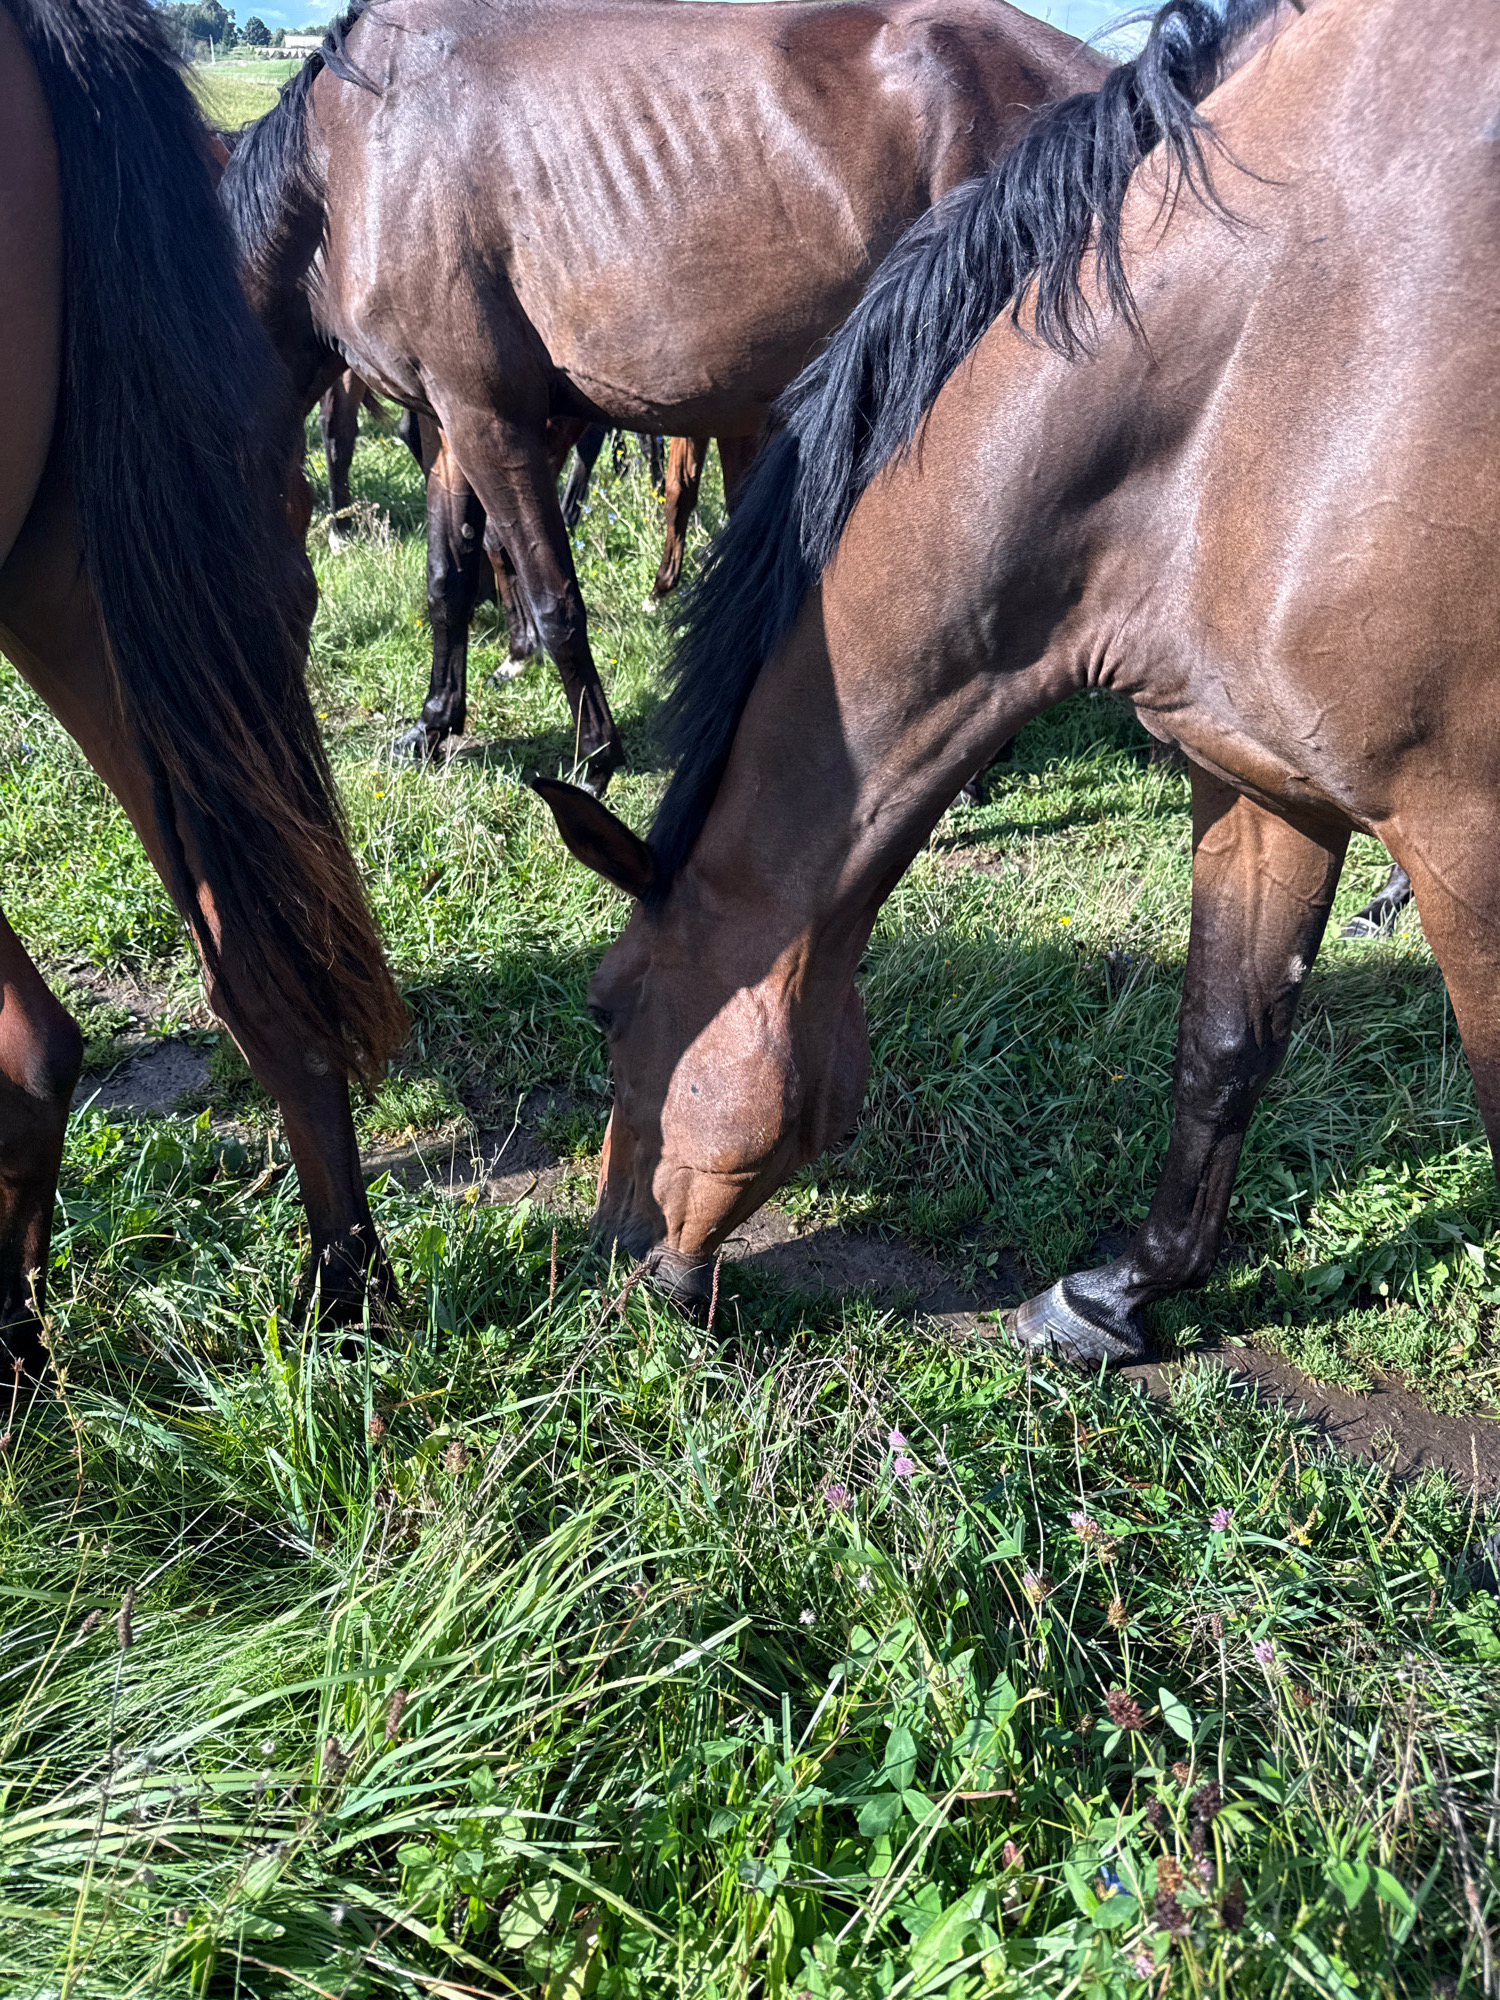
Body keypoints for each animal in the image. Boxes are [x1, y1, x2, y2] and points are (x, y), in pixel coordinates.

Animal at [218, 0, 1107, 788]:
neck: (354, 159)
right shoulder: (451, 421)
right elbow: (449, 581)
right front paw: (435, 725)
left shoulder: (490, 420)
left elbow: (553, 593)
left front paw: (593, 758)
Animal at [535, 0, 1500, 1363]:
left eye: (607, 1006)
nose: (616, 1255)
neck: (1269, 364)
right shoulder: (1263, 784)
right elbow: (1222, 1045)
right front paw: (1112, 1295)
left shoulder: (1468, 838)